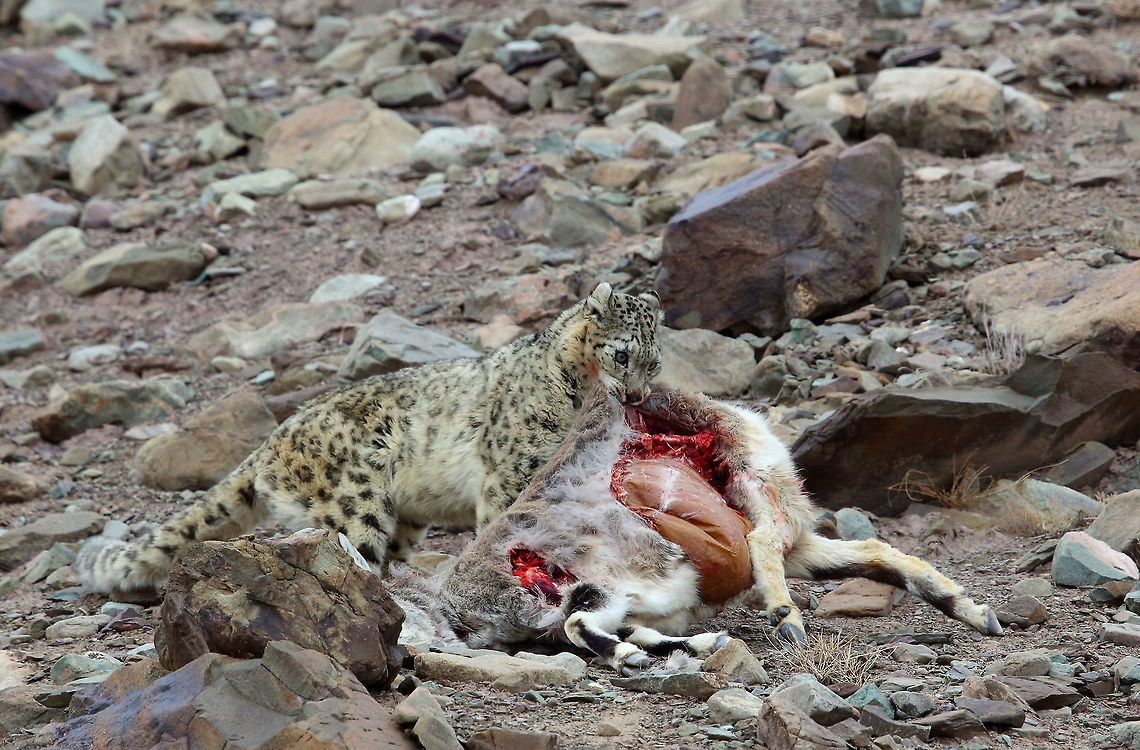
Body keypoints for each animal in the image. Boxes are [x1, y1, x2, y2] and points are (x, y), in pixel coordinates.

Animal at [75, 282, 663, 594]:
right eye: (621, 354)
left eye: (654, 362)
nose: (636, 395)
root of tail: (271, 441)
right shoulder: (510, 474)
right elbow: (502, 526)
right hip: (355, 502)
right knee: (352, 552)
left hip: (404, 516)